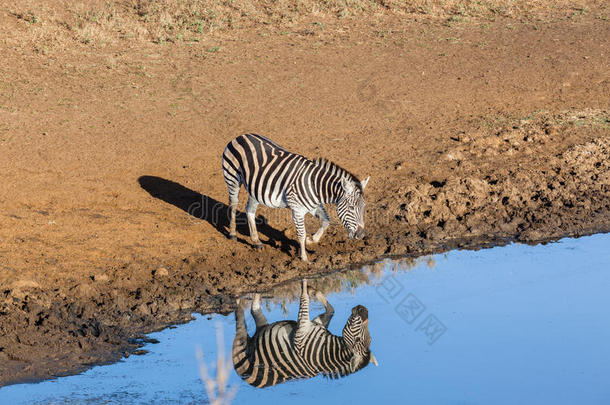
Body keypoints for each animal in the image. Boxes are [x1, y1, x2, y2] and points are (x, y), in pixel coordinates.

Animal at [221, 132, 368, 258]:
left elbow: (326, 221)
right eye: (351, 208)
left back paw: (256, 241)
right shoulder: (297, 210)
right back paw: (233, 234)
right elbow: (301, 234)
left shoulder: (314, 206)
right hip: (232, 179)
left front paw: (312, 240)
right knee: (233, 204)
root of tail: (241, 136)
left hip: (255, 188)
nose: (361, 235)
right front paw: (303, 258)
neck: (315, 186)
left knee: (249, 210)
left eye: (363, 207)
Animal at [232, 278, 376, 388]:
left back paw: (239, 298)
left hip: (243, 347)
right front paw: (312, 289)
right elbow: (331, 309)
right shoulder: (315, 323)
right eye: (366, 337)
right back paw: (259, 289)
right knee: (254, 308)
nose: (364, 309)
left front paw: (305, 283)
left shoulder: (302, 331)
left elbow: (304, 298)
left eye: (358, 339)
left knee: (244, 314)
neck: (327, 350)